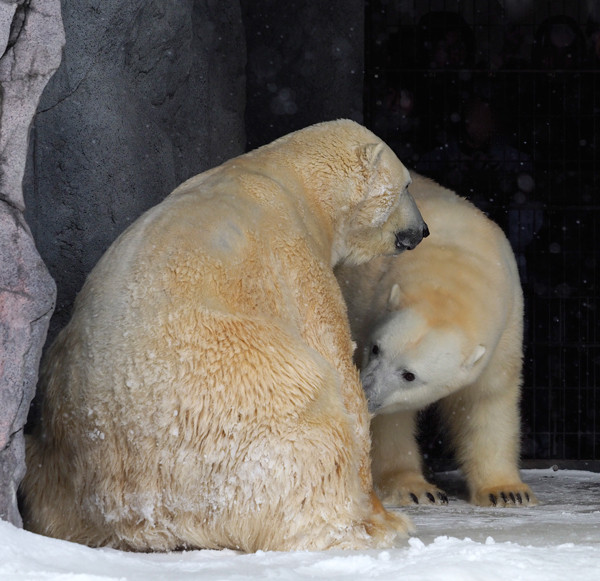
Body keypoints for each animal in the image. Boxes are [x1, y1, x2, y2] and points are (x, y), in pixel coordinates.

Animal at [22, 120, 426, 552]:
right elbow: (333, 356)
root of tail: (138, 517)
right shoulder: (293, 251)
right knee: (312, 424)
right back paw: (360, 529)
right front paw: (383, 514)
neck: (288, 175)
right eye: (406, 185)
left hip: (57, 456)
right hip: (241, 404)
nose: (423, 230)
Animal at [336, 172, 536, 508]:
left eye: (409, 375)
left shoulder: (507, 327)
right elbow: (391, 422)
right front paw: (415, 489)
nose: (367, 392)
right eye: (375, 349)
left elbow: (488, 400)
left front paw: (507, 492)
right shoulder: (363, 307)